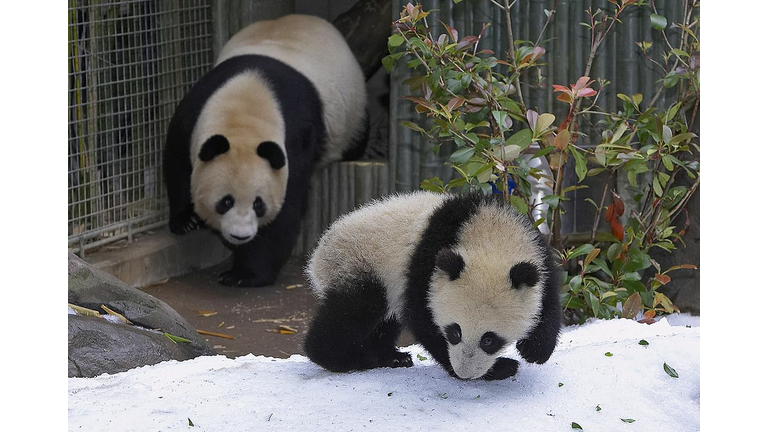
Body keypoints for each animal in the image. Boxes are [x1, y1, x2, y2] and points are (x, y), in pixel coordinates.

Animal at [164, 15, 368, 288]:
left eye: (258, 204)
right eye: (225, 202)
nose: (240, 236)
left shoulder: (294, 143)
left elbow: (287, 207)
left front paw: (244, 274)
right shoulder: (194, 112)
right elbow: (177, 161)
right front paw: (186, 220)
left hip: (353, 114)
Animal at [304, 191, 560, 380]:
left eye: (489, 340)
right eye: (455, 332)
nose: (465, 374)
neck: (491, 236)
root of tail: (318, 253)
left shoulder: (537, 254)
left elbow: (548, 299)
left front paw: (535, 349)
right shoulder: (428, 263)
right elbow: (423, 319)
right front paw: (500, 368)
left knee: (385, 321)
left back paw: (390, 357)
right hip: (359, 263)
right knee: (355, 309)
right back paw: (346, 358)